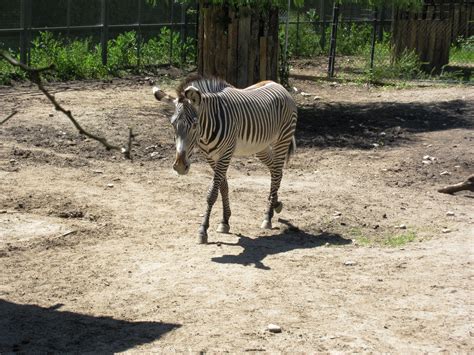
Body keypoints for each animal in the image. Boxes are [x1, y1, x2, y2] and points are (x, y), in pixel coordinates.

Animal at [155, 76, 296, 245]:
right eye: (172, 124)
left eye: (195, 124)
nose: (181, 167)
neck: (206, 130)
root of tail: (278, 85)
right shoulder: (211, 157)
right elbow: (223, 187)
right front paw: (224, 221)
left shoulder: (225, 154)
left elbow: (212, 193)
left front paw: (203, 230)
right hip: (260, 147)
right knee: (276, 170)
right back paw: (275, 204)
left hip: (282, 139)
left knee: (276, 173)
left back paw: (268, 217)